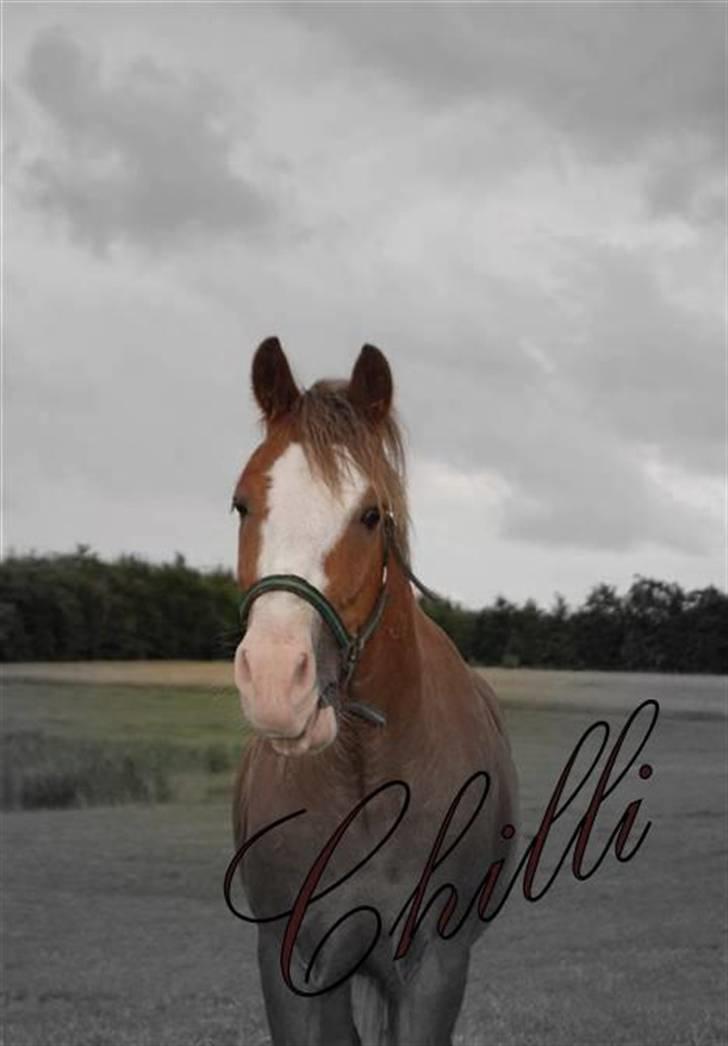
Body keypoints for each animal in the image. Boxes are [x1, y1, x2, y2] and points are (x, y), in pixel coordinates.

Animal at [230, 337, 519, 1046]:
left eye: (369, 515)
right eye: (242, 504)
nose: (275, 679)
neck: (366, 777)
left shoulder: (432, 968)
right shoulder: (294, 966)